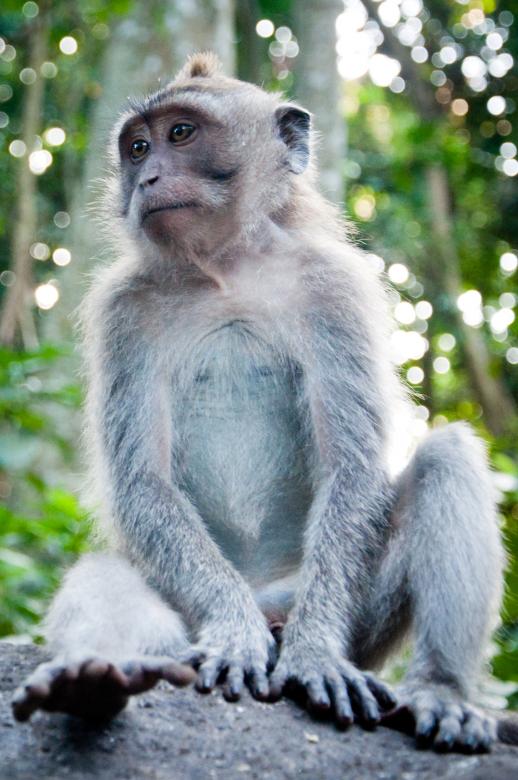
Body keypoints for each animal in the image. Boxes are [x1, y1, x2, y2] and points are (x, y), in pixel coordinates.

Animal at [12, 52, 505, 753]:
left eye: (181, 134)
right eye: (137, 148)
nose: (149, 176)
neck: (226, 269)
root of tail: (267, 602)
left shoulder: (335, 289)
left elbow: (353, 466)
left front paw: (318, 654)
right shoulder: (123, 311)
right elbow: (142, 481)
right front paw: (231, 636)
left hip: (350, 616)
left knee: (449, 455)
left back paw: (441, 692)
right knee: (106, 573)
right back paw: (94, 678)